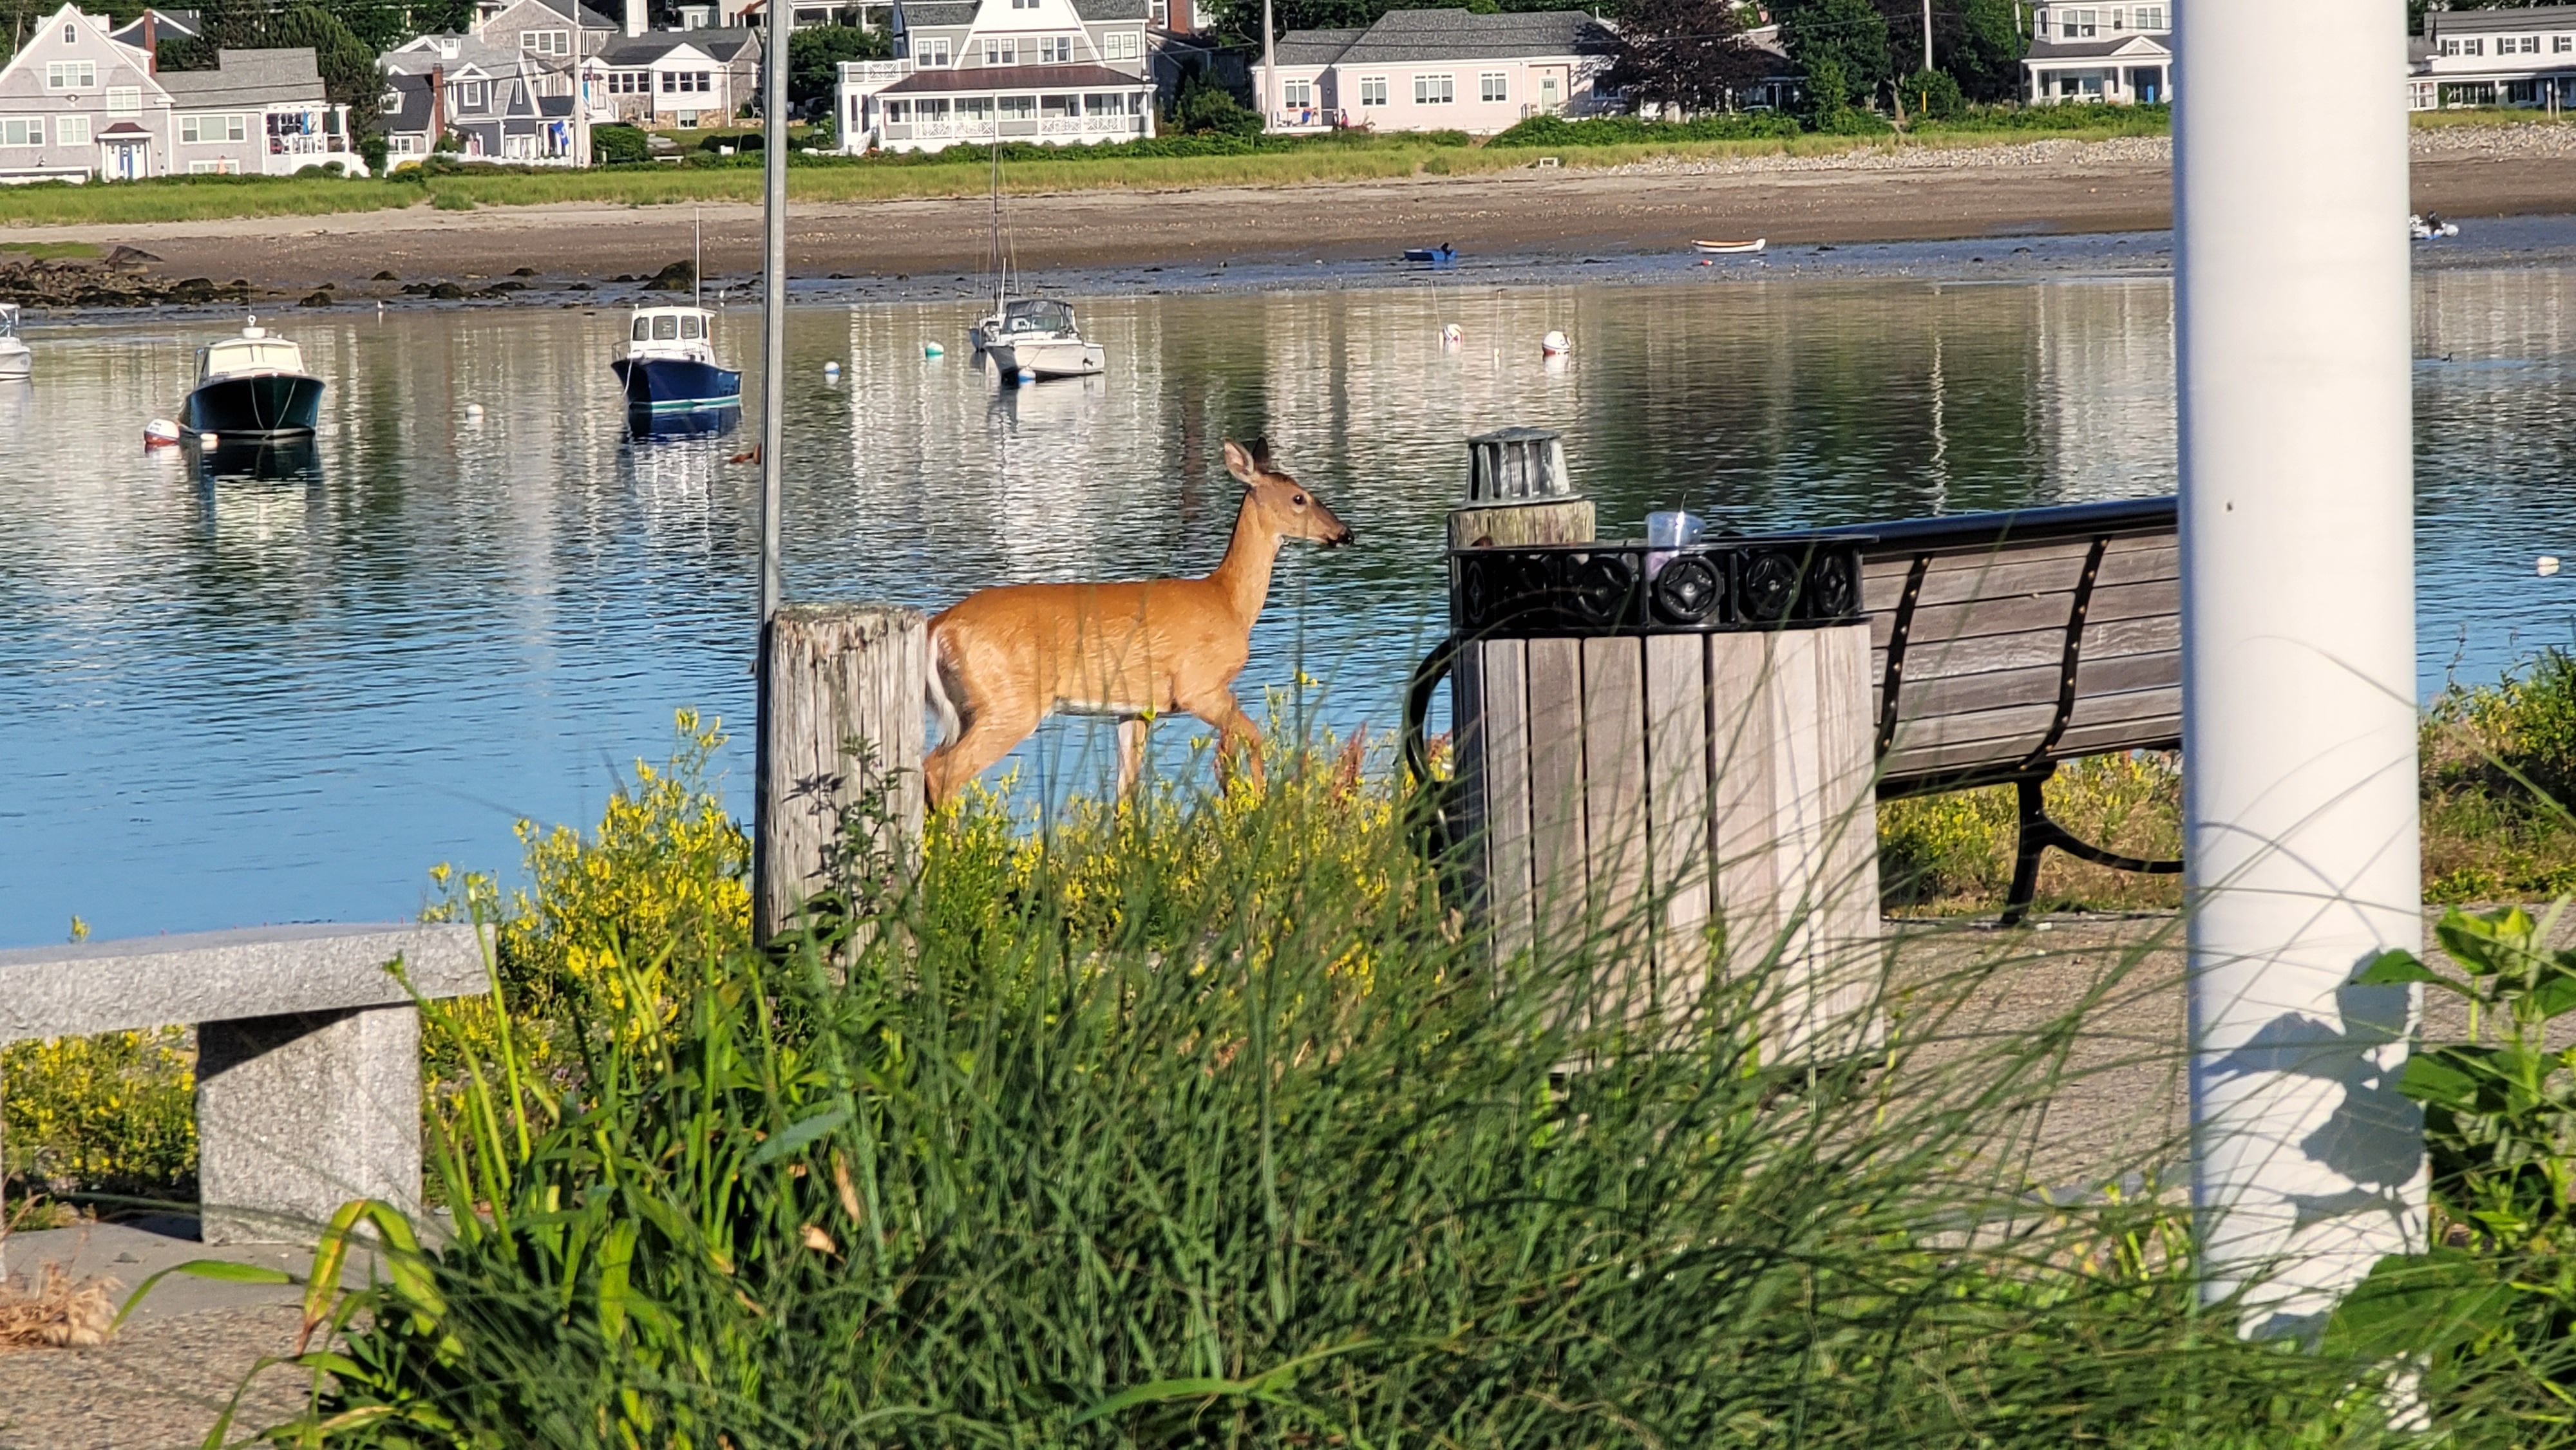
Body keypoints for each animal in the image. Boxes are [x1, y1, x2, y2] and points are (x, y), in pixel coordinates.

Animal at [924, 437, 1354, 806]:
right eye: (1299, 497)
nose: (1344, 533)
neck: (1228, 602)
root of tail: (939, 626)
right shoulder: (1199, 686)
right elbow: (1254, 736)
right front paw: (1257, 801)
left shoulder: (1136, 709)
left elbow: (1125, 792)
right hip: (1009, 704)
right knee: (943, 773)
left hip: (966, 708)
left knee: (928, 766)